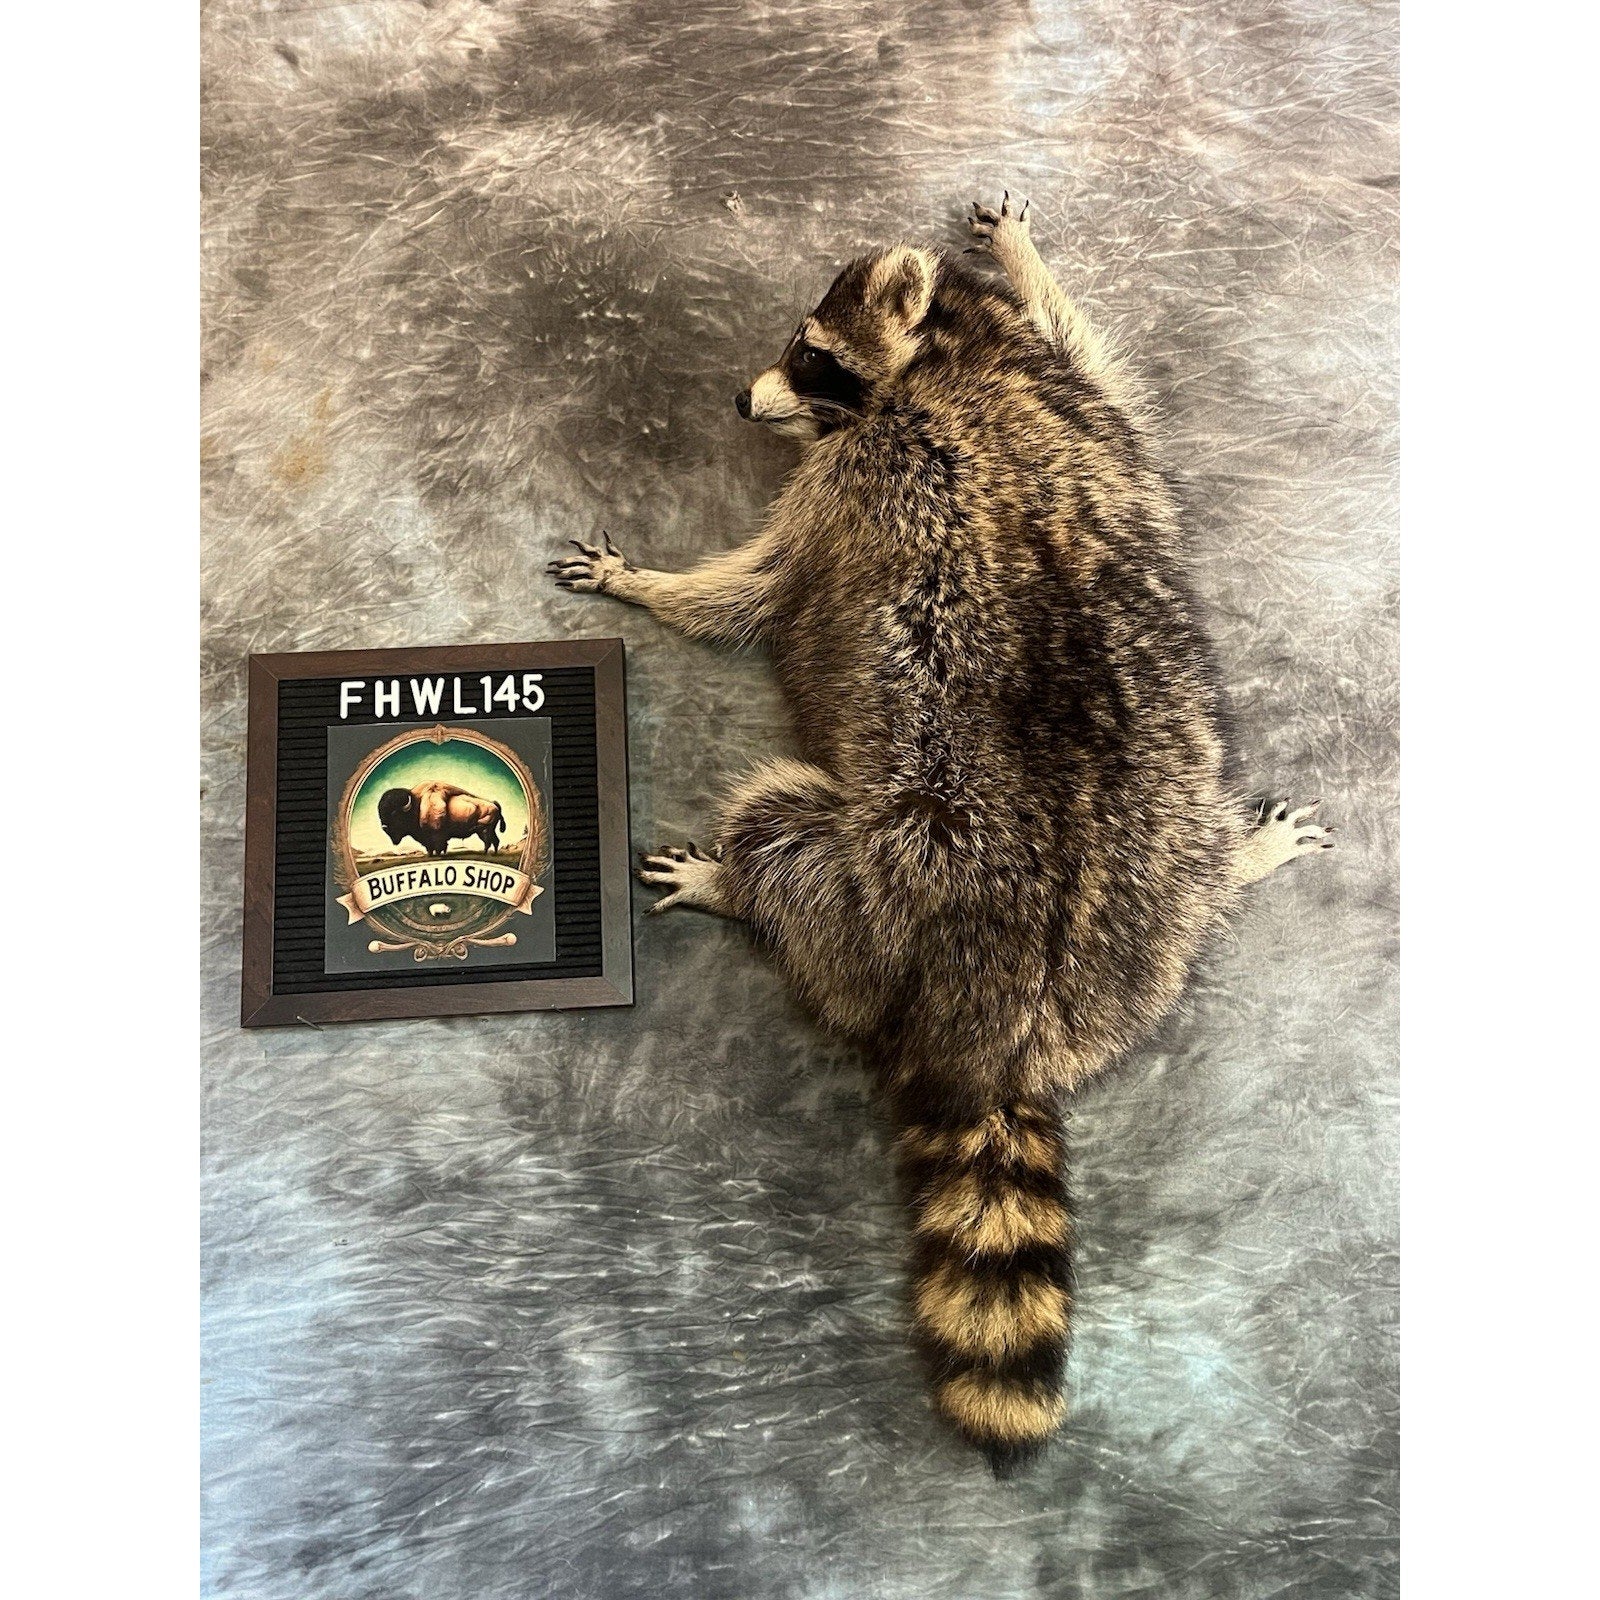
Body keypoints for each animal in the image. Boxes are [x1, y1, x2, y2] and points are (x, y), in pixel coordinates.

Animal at [548, 193, 1333, 1475]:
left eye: (811, 353)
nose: (739, 402)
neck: (954, 356)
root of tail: (1008, 1023)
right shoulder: (1069, 385)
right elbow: (1091, 342)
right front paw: (1024, 254)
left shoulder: (859, 475)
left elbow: (756, 588)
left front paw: (651, 584)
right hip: (1162, 849)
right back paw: (1235, 863)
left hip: (878, 875)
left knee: (782, 830)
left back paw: (737, 883)